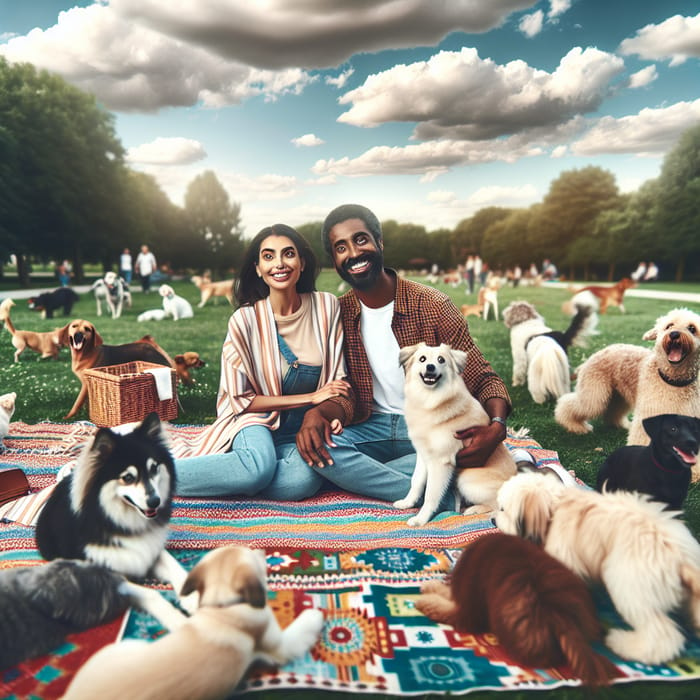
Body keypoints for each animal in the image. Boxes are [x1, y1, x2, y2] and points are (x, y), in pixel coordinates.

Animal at [63, 548, 326, 700]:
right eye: (256, 560)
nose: (263, 551)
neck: (222, 607)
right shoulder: (279, 645)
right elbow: (302, 628)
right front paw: (315, 613)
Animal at [394, 342, 520, 528]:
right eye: (422, 359)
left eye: (441, 360)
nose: (430, 367)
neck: (429, 400)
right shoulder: (423, 456)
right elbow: (416, 482)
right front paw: (407, 502)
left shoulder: (440, 463)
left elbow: (431, 494)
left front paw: (421, 519)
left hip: (466, 480)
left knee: (497, 506)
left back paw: (473, 509)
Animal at [494, 474, 700, 664]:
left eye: (502, 509)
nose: (493, 520)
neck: (554, 508)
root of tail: (680, 557)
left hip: (630, 585)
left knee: (661, 635)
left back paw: (624, 645)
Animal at [552, 308, 700, 452]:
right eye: (669, 326)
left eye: (692, 328)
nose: (674, 334)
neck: (674, 380)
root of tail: (596, 353)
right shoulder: (649, 414)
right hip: (594, 397)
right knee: (568, 404)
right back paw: (576, 426)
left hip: (617, 397)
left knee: (612, 413)